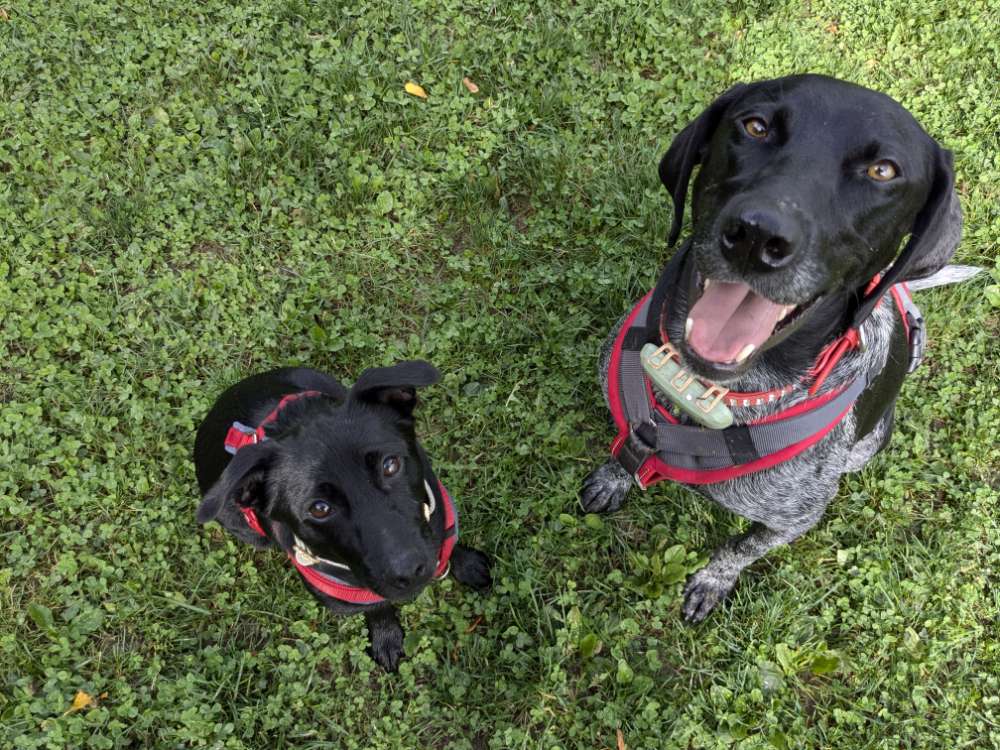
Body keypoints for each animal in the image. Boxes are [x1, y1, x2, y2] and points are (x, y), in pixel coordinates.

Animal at [193, 362, 490, 672]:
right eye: (319, 508)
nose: (410, 571)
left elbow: (447, 542)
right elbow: (377, 605)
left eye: (390, 465)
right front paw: (386, 637)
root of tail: (219, 405)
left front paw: (466, 563)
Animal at [580, 75, 968, 624]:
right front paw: (614, 477)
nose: (756, 236)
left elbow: (739, 548)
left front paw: (712, 581)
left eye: (883, 171)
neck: (706, 393)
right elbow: (626, 451)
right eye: (756, 126)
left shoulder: (794, 519)